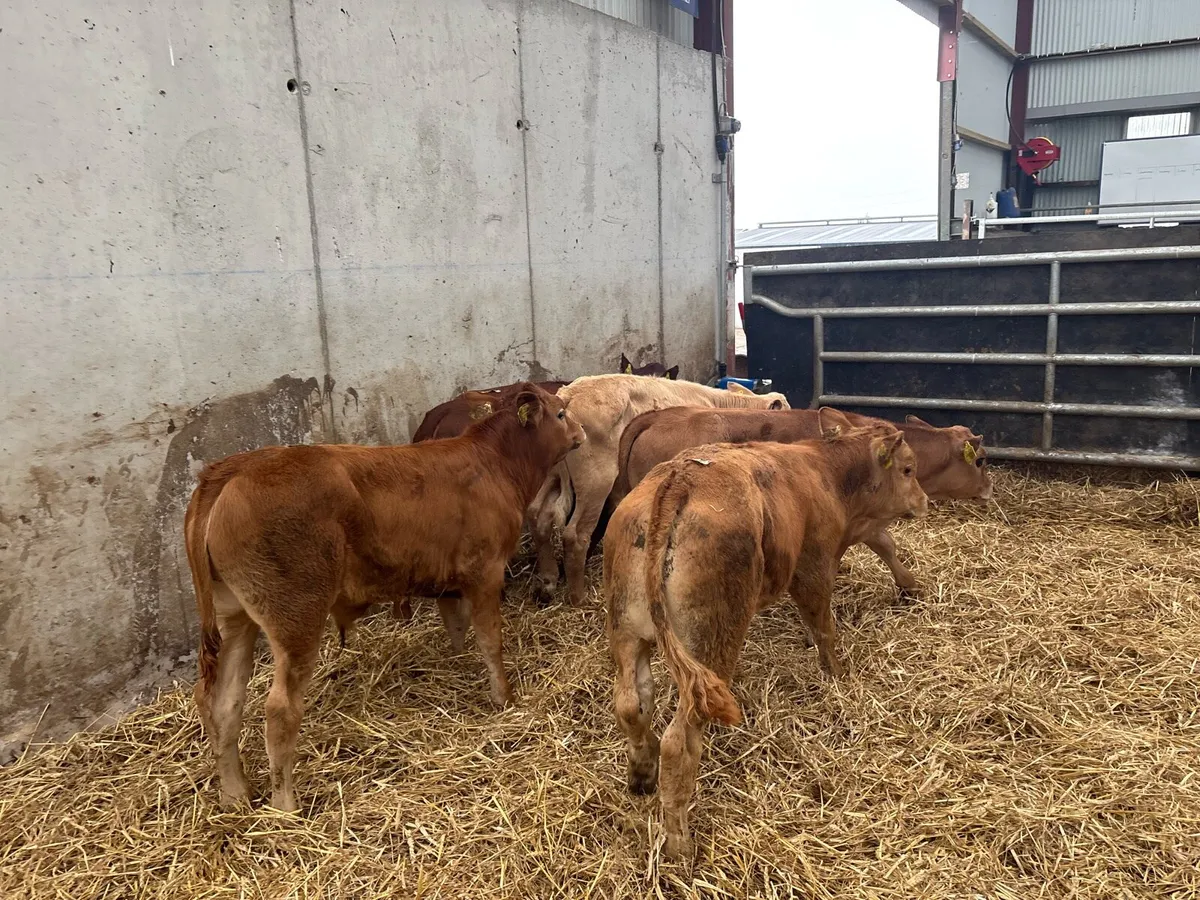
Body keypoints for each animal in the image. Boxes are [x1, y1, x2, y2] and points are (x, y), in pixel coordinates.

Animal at [184, 383, 583, 812]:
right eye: (561, 414)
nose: (581, 433)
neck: (494, 462)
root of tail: (231, 470)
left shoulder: (447, 581)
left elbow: (457, 627)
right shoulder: (485, 574)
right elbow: (491, 642)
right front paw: (504, 698)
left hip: (234, 618)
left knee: (222, 703)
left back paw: (235, 794)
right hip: (296, 618)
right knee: (279, 710)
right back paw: (285, 805)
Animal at [526, 374, 789, 606]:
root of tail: (568, 396)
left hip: (550, 478)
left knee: (538, 517)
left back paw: (548, 582)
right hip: (595, 483)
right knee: (576, 534)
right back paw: (578, 598)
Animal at [604, 416, 928, 859]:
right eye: (908, 469)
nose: (925, 501)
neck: (825, 472)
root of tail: (679, 479)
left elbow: (884, 543)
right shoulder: (813, 566)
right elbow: (824, 625)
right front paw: (837, 673)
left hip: (627, 632)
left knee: (631, 705)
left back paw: (641, 773)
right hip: (709, 647)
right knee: (679, 741)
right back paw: (679, 843)